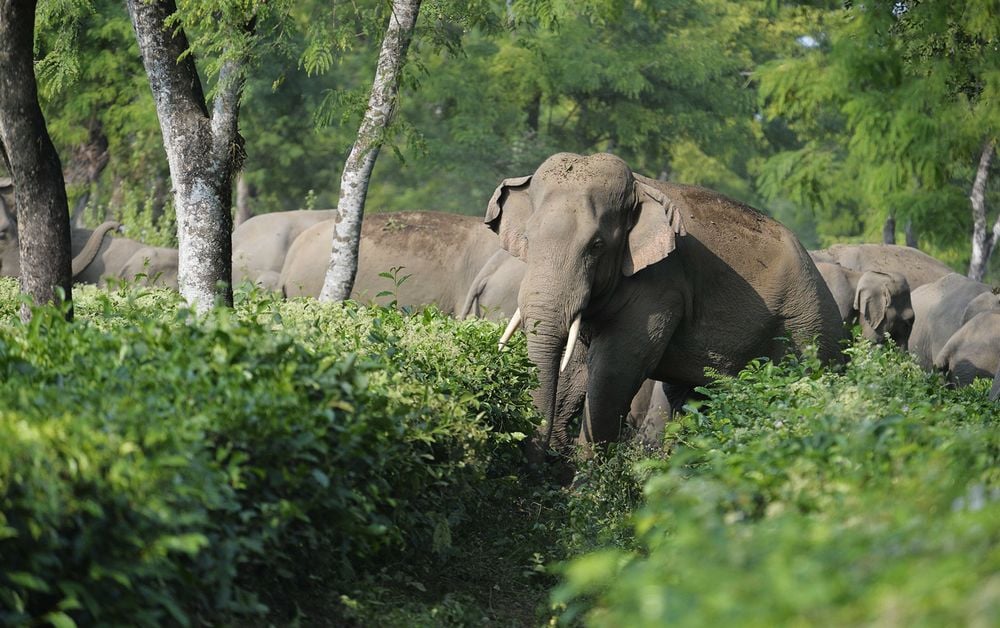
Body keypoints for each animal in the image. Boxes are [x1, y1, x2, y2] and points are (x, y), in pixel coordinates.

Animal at [487, 152, 846, 455]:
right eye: (528, 238)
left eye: (597, 245)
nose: (538, 454)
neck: (639, 188)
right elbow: (575, 369)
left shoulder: (660, 285)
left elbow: (612, 373)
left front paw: (586, 486)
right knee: (690, 398)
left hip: (806, 330)